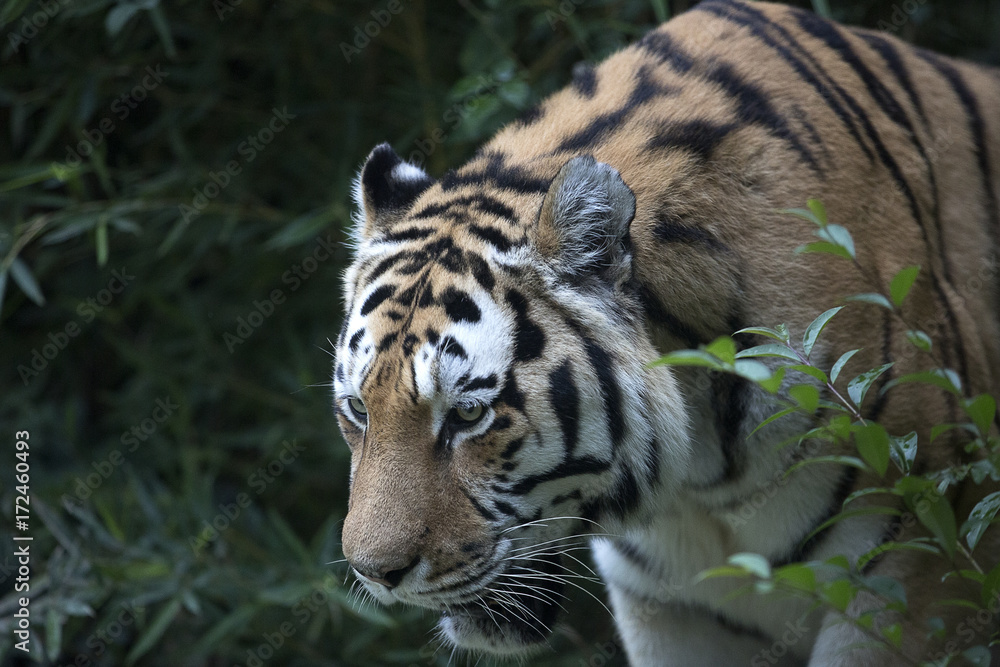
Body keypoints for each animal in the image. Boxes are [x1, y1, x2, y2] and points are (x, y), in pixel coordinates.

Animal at [333, 0, 1000, 664]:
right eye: (358, 410)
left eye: (470, 415)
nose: (375, 575)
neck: (702, 476)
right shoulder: (666, 605)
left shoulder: (911, 561)